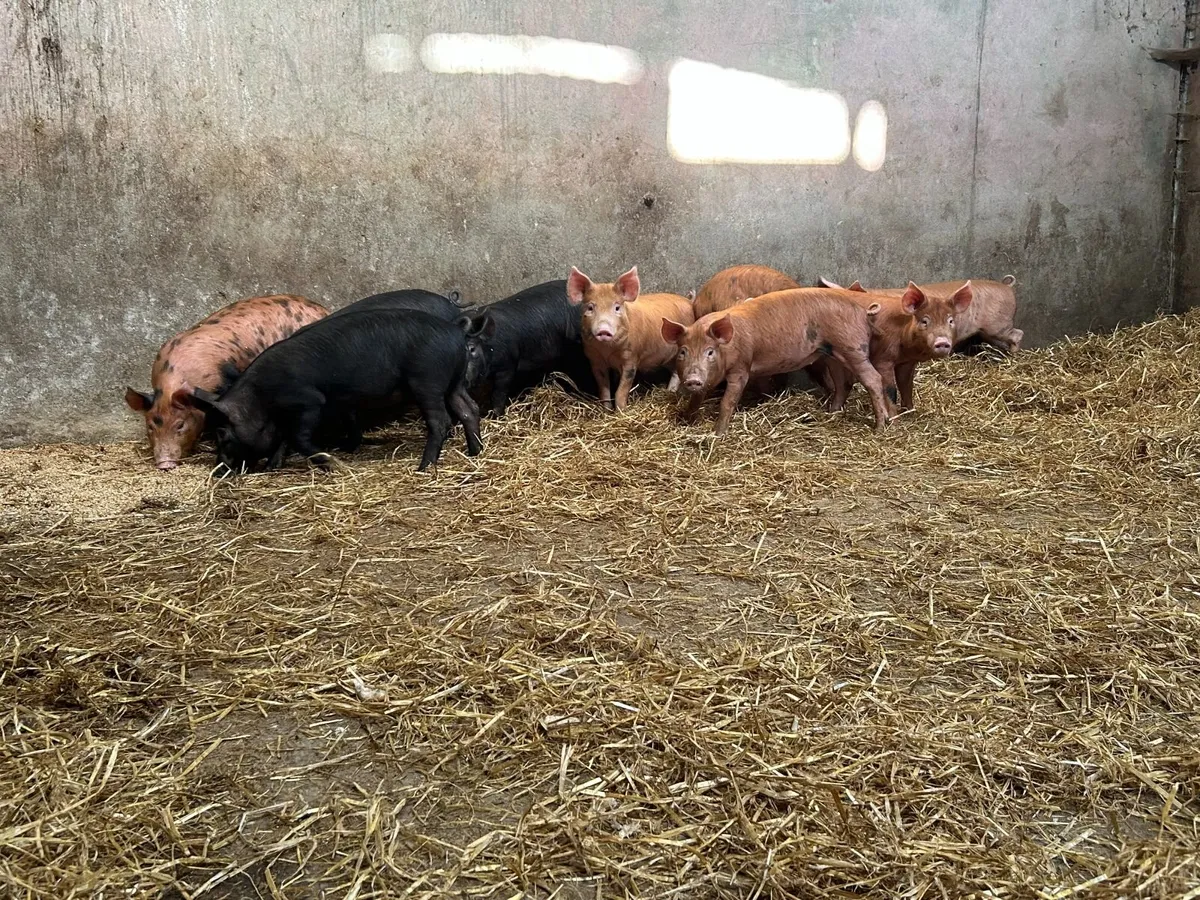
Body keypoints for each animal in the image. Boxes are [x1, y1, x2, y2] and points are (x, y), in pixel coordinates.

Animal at [190, 308, 489, 472]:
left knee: (441, 420)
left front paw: (335, 463)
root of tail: (454, 332)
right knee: (469, 409)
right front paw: (273, 465)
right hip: (454, 382)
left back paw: (424, 467)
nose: (217, 471)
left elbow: (298, 437)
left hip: (426, 381)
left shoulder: (309, 402)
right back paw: (475, 452)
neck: (261, 399)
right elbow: (286, 437)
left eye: (222, 433)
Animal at [567, 266, 695, 410]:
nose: (603, 330)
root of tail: (689, 301)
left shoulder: (631, 358)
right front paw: (607, 410)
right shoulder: (595, 360)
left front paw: (621, 411)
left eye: (617, 307)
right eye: (590, 307)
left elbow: (620, 391)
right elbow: (604, 391)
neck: (607, 350)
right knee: (674, 370)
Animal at [661, 288, 891, 435]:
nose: (693, 379)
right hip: (831, 353)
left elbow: (728, 402)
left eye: (710, 352)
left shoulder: (741, 369)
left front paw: (718, 434)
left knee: (873, 379)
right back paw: (831, 412)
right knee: (843, 383)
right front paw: (685, 421)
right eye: (683, 352)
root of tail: (863, 311)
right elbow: (696, 399)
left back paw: (879, 428)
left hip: (853, 348)